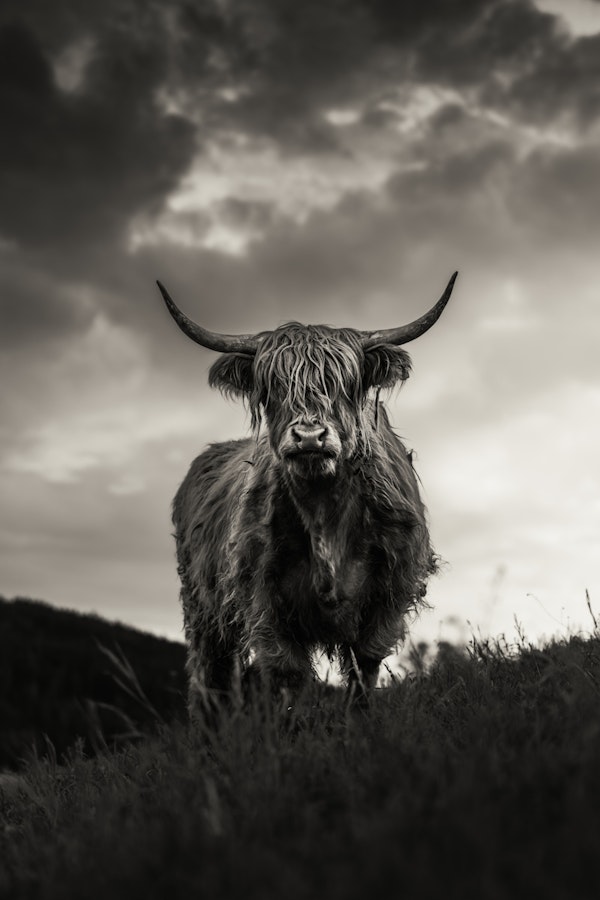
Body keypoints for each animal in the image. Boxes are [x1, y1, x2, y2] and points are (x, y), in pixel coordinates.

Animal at [158, 272, 457, 715]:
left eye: (345, 385)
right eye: (273, 388)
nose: (310, 436)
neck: (325, 515)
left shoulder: (387, 599)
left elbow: (363, 672)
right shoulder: (264, 603)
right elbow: (287, 679)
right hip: (202, 608)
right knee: (210, 677)